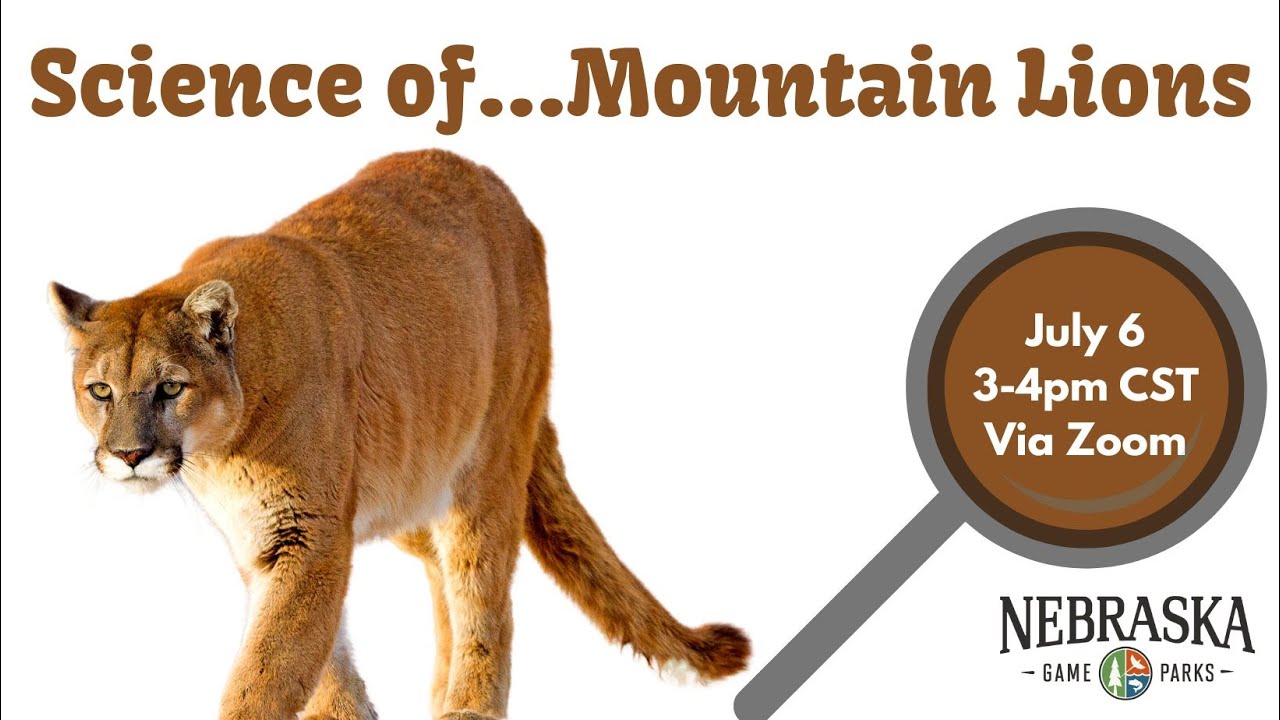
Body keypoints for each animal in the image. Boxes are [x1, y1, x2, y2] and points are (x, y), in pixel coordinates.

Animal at [49, 149, 749, 720]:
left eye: (171, 388)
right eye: (100, 391)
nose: (128, 453)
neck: (220, 448)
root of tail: (505, 194)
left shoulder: (307, 532)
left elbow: (272, 661)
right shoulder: (272, 539)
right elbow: (319, 650)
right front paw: (348, 712)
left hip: (486, 462)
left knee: (481, 588)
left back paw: (468, 705)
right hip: (411, 480)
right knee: (442, 571)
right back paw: (439, 693)